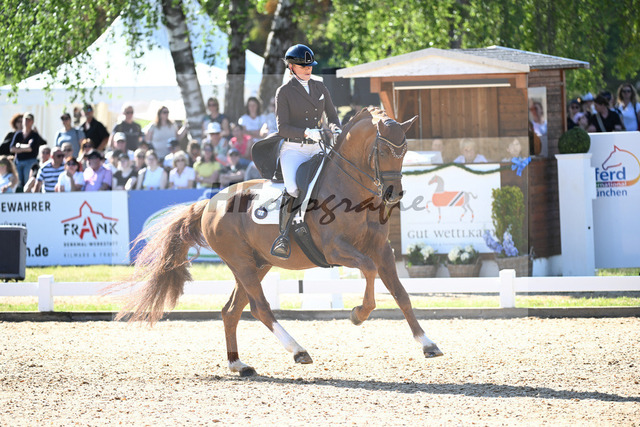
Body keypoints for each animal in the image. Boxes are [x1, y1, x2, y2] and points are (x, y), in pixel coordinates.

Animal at [115, 107, 443, 377]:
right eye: (383, 149)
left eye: (404, 150)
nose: (393, 194)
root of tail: (210, 203)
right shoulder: (336, 250)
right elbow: (370, 272)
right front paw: (357, 315)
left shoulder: (382, 249)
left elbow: (401, 294)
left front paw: (428, 343)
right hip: (242, 263)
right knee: (260, 308)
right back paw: (298, 351)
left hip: (257, 264)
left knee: (231, 310)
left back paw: (239, 365)